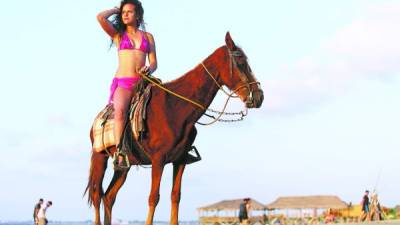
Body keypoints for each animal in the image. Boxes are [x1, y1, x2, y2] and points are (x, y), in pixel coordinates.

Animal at [85, 32, 262, 225]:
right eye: (241, 63)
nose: (259, 96)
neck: (175, 107)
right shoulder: (158, 159)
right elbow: (153, 197)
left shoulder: (180, 160)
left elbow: (175, 196)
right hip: (100, 158)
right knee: (97, 195)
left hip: (124, 166)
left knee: (109, 197)